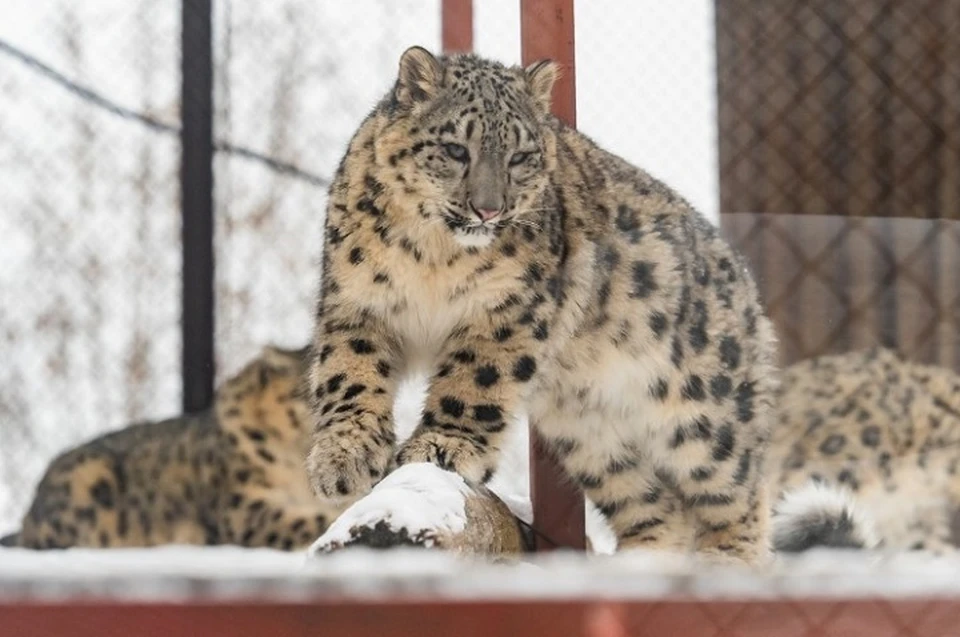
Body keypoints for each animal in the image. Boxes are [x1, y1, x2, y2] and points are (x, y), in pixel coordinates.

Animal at [308, 51, 780, 568]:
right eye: (455, 149)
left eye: (520, 157)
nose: (488, 210)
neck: (432, 257)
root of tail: (746, 284)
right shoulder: (357, 304)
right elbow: (349, 374)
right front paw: (343, 458)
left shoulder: (507, 313)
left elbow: (472, 382)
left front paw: (440, 447)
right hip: (592, 438)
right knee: (657, 506)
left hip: (702, 414)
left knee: (738, 487)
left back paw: (726, 561)